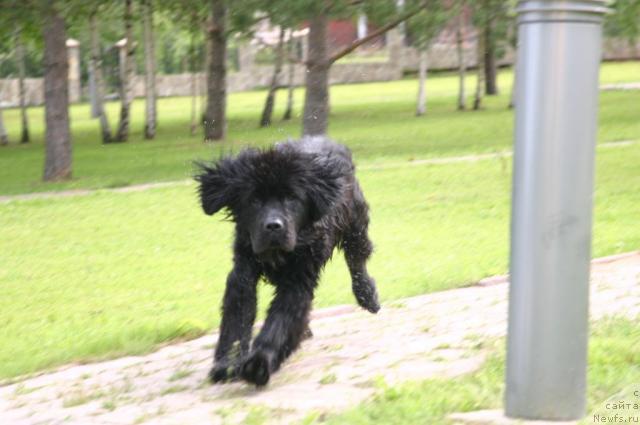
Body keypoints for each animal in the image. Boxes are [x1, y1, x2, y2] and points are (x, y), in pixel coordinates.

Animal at [195, 137, 380, 386]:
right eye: (254, 199)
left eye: (292, 198)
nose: (273, 226)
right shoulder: (243, 273)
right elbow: (237, 318)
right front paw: (228, 363)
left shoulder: (298, 280)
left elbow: (281, 321)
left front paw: (259, 363)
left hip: (355, 224)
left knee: (357, 261)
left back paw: (367, 295)